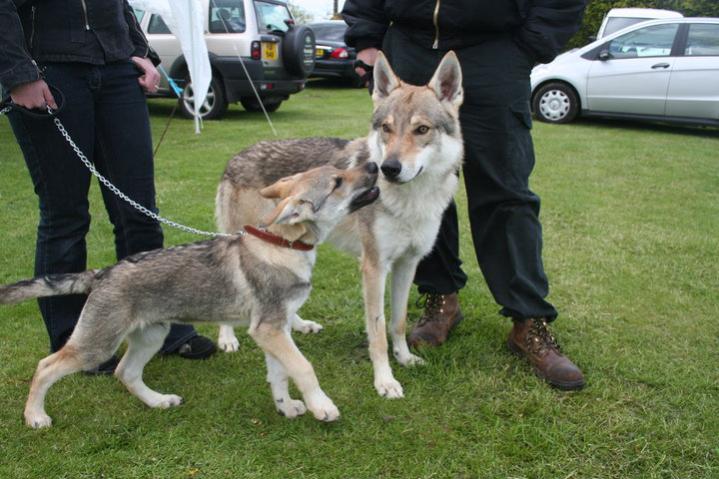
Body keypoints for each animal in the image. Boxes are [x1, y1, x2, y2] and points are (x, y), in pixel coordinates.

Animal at [0, 163, 380, 430]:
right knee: (46, 366)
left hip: (152, 335)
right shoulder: (270, 330)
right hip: (96, 345)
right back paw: (35, 417)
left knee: (126, 373)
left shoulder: (276, 329)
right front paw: (322, 407)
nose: (375, 166)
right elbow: (303, 368)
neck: (283, 247)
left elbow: (280, 375)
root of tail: (103, 272)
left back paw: (158, 402)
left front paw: (286, 407)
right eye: (337, 182)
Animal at [214, 50, 464, 400]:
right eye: (386, 129)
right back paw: (227, 338)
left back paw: (300, 325)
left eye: (422, 129)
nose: (388, 168)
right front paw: (385, 381)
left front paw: (405, 358)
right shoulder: (374, 267)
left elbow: (398, 322)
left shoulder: (408, 264)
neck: (412, 199)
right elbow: (378, 330)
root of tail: (236, 156)